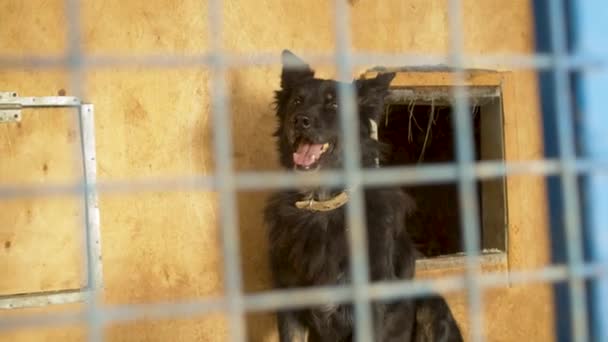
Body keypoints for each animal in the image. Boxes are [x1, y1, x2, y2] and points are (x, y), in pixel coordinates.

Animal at [264, 48, 464, 342]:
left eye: (334, 105)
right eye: (297, 100)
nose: (299, 120)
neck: (323, 203)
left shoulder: (367, 308)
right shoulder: (289, 301)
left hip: (431, 302)